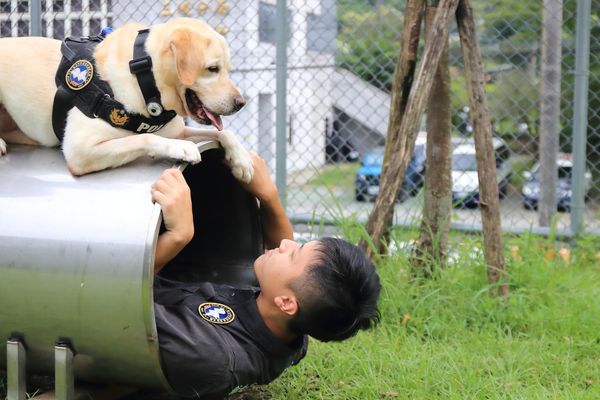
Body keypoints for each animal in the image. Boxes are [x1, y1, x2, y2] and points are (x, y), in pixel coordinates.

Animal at [0, 18, 253, 181]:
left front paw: (242, 161)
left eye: (227, 69)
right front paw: (179, 147)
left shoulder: (177, 130)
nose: (241, 104)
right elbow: (143, 138)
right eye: (212, 69)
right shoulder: (79, 151)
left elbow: (224, 132)